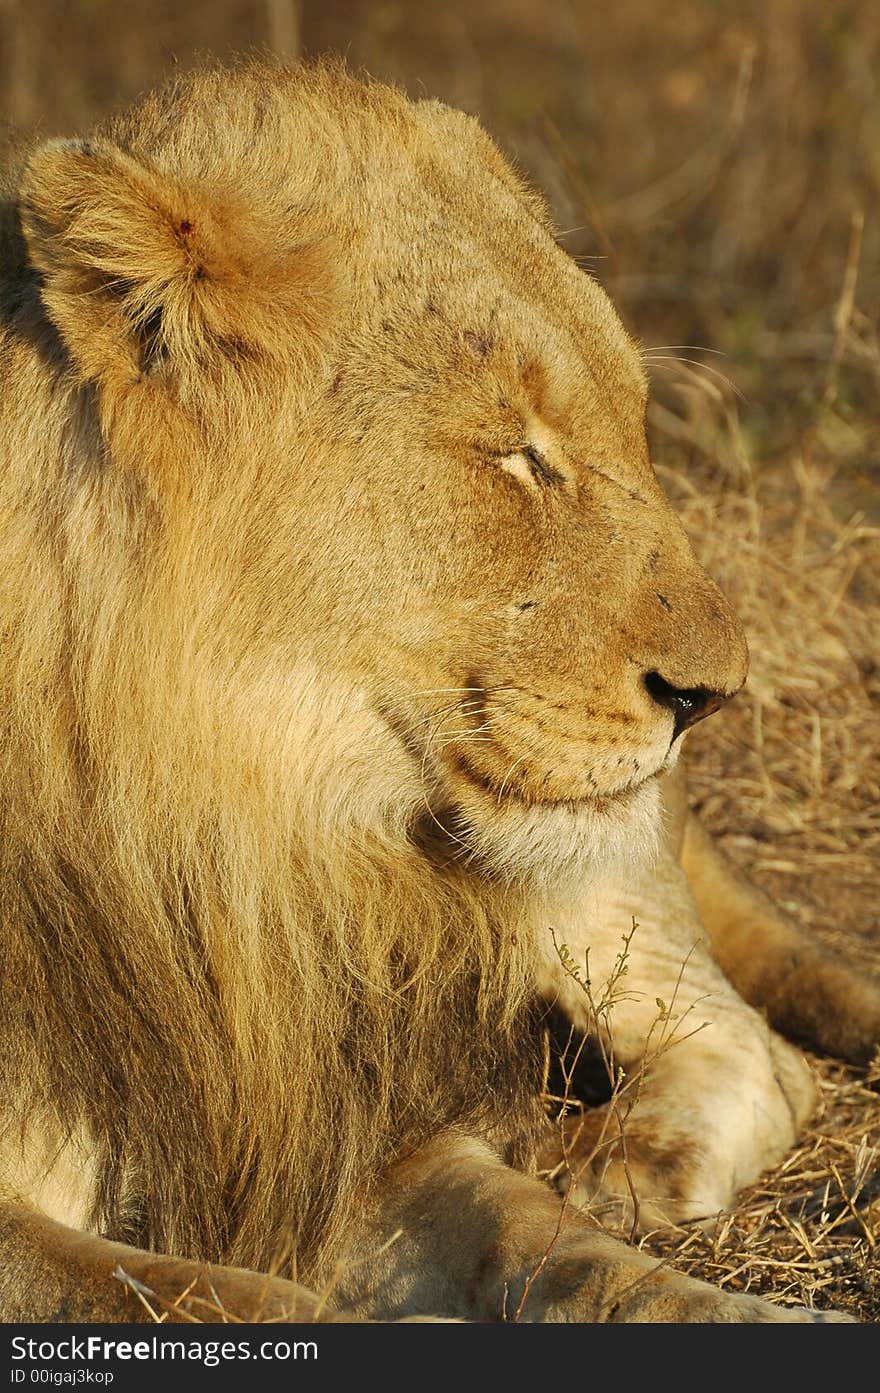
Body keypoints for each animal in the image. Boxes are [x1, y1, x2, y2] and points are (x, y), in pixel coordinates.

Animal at [1, 62, 880, 1326]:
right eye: (513, 452)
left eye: (632, 425)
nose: (713, 694)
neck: (213, 837)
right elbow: (235, 1302)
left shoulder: (354, 1120)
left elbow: (554, 1244)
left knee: (761, 1052)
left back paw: (616, 1163)